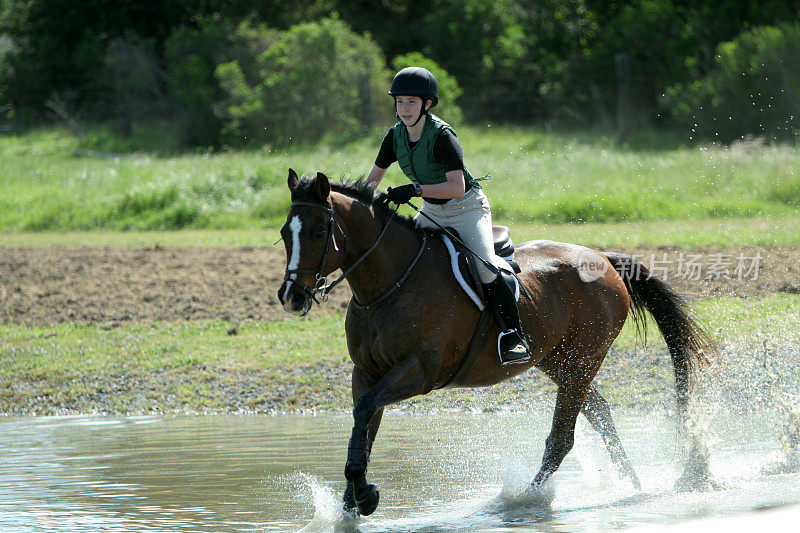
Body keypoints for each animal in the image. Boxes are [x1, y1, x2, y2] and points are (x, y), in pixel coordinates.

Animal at [278, 169, 716, 516]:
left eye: (319, 231)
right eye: (285, 233)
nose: (291, 297)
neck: (387, 286)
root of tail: (603, 259)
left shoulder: (417, 373)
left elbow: (365, 412)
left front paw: (363, 494)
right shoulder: (367, 373)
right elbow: (364, 422)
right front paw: (352, 504)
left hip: (583, 358)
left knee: (562, 438)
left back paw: (524, 499)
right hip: (559, 360)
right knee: (600, 412)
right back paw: (633, 485)